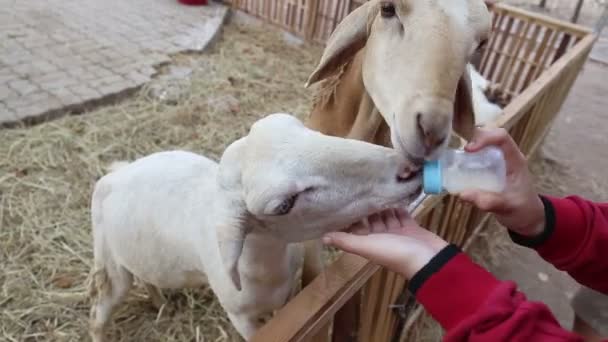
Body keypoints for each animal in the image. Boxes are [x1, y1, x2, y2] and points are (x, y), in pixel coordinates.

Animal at [88, 113, 422, 340]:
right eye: (284, 204)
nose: (408, 169)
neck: (268, 267)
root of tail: (112, 176)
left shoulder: (286, 297)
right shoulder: (241, 317)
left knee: (147, 277)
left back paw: (160, 303)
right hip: (111, 265)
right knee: (100, 311)